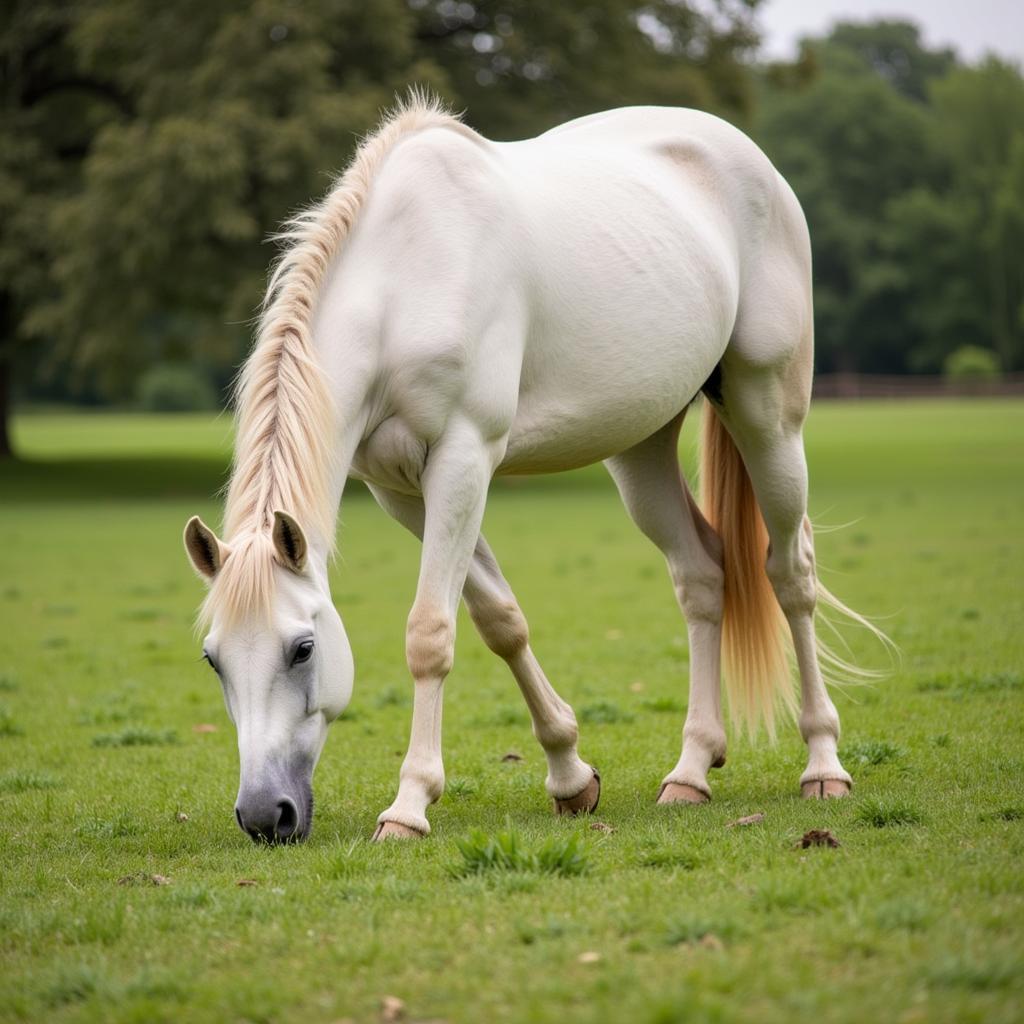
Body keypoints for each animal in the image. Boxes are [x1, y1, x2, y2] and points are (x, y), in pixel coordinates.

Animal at [184, 94, 880, 839]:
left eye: (304, 649)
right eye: (213, 658)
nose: (265, 814)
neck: (404, 279)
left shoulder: (463, 459)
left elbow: (430, 633)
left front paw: (409, 806)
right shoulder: (403, 489)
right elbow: (500, 620)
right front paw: (571, 775)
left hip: (767, 415)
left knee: (790, 574)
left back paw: (823, 764)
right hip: (641, 448)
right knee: (702, 576)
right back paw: (690, 772)